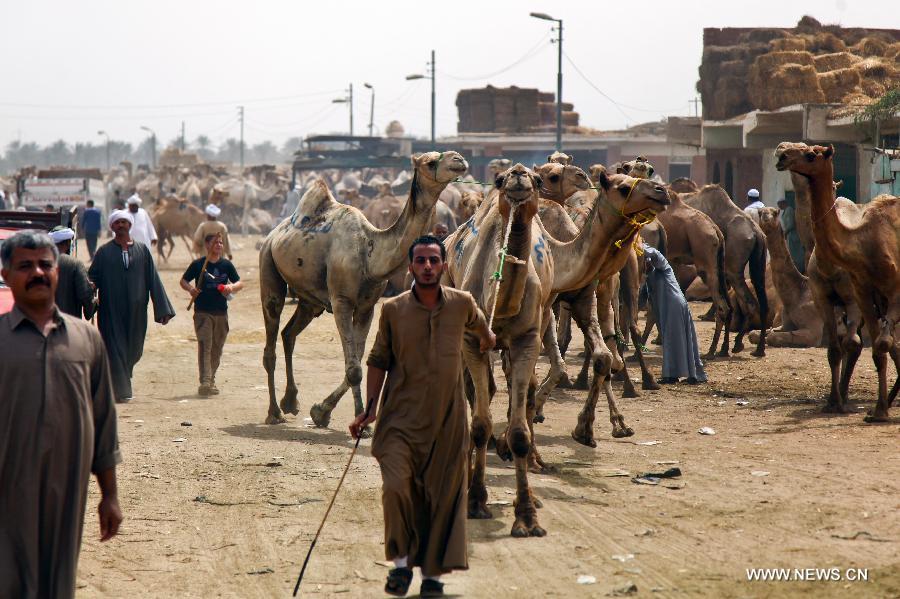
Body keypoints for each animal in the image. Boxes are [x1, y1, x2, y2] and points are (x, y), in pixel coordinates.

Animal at [256, 152, 468, 428]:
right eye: (430, 162)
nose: (459, 159)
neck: (370, 253)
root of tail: (273, 234)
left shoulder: (367, 307)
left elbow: (357, 362)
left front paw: (328, 413)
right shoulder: (341, 302)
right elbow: (354, 369)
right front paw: (336, 415)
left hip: (309, 300)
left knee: (289, 333)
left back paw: (290, 402)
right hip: (268, 267)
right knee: (271, 336)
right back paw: (274, 412)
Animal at [684, 185, 768, 356]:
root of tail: (756, 232)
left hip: (732, 266)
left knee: (744, 301)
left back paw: (730, 345)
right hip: (756, 262)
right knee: (760, 299)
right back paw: (756, 348)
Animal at [752, 206, 824, 346]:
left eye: (775, 213)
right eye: (760, 212)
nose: (766, 216)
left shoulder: (814, 331)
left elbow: (772, 337)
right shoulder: (784, 324)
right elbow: (754, 333)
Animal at [772, 144, 900, 422]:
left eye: (810, 154)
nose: (782, 153)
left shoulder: (872, 296)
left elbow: (866, 343)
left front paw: (871, 408)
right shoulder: (839, 297)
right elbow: (843, 348)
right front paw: (838, 402)